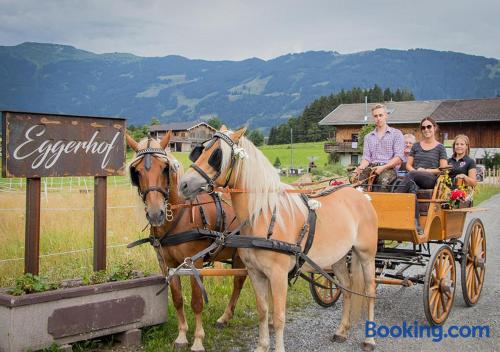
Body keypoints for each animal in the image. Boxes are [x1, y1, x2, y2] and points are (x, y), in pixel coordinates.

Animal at [127, 132, 246, 352]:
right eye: (136, 172)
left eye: (165, 168)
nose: (156, 213)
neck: (179, 217)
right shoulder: (168, 265)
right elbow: (177, 299)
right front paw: (182, 336)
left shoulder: (194, 263)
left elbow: (197, 301)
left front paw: (198, 340)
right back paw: (226, 317)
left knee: (240, 281)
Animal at [180, 127, 378, 352]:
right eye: (201, 150)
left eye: (217, 155)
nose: (183, 184)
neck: (264, 216)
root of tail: (361, 195)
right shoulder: (256, 273)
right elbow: (263, 311)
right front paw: (262, 346)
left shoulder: (278, 275)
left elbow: (279, 316)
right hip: (337, 258)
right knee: (346, 288)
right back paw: (342, 331)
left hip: (366, 255)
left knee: (370, 291)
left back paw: (370, 339)